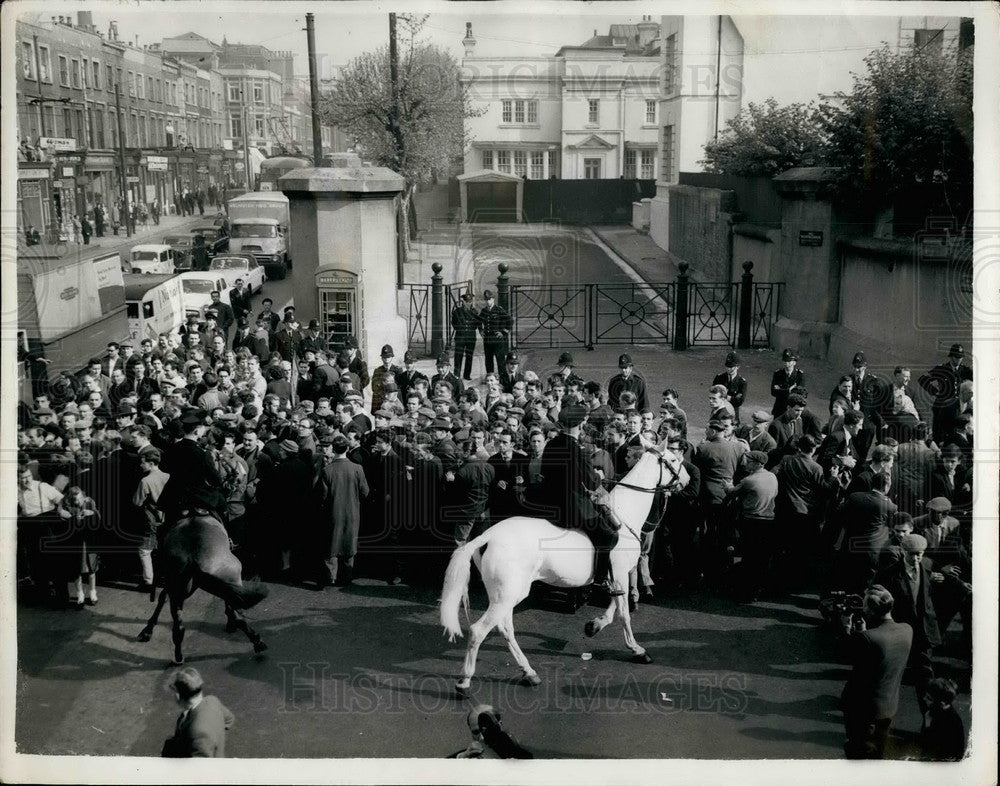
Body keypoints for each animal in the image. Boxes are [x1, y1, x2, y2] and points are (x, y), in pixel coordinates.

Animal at [139, 516, 270, 660]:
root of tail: (194, 557)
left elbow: (163, 597)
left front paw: (148, 630)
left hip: (179, 589)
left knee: (178, 626)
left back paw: (178, 656)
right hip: (230, 577)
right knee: (235, 613)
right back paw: (257, 641)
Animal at [442, 444, 692, 696]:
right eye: (672, 459)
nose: (687, 480)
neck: (624, 514)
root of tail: (488, 536)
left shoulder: (617, 578)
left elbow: (613, 607)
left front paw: (594, 626)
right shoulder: (620, 573)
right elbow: (623, 613)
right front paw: (637, 650)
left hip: (505, 595)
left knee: (505, 629)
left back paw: (528, 672)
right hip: (508, 595)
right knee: (478, 630)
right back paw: (464, 681)